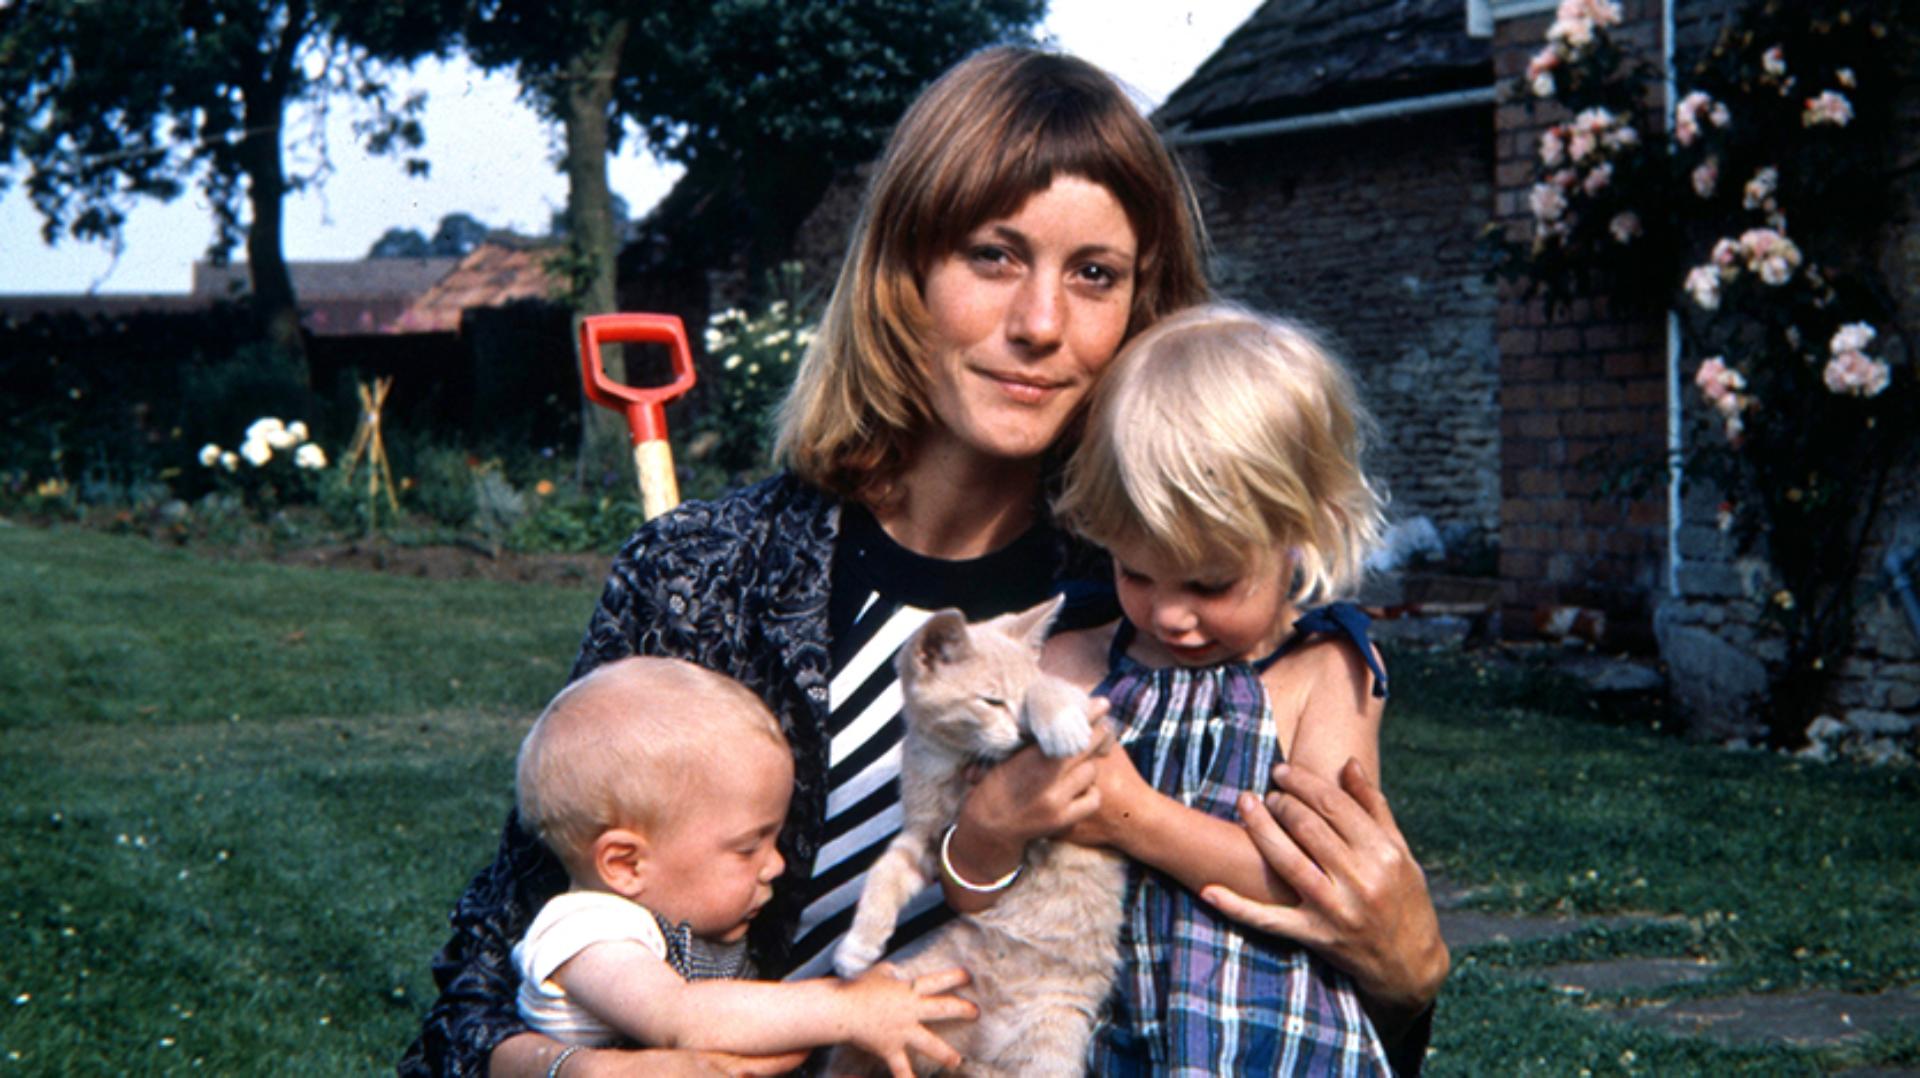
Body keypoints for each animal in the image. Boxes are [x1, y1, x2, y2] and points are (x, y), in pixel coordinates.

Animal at [829, 595, 1121, 1076]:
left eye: (1022, 701)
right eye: (992, 701)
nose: (1023, 732)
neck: (960, 758)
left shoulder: (1103, 729)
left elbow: (1053, 689)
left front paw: (1059, 722)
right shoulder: (925, 838)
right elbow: (884, 876)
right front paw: (858, 944)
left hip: (1051, 1050)